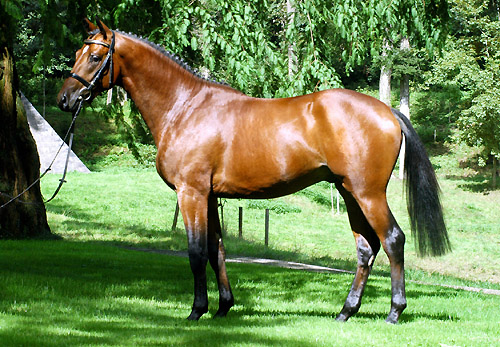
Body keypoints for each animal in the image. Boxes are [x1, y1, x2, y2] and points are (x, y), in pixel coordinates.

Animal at [57, 18, 450, 324]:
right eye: (77, 54)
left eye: (96, 56)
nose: (65, 99)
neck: (185, 107)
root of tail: (387, 112)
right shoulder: (210, 196)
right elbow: (216, 249)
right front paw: (222, 307)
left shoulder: (191, 192)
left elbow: (196, 252)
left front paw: (196, 310)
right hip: (348, 191)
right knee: (366, 248)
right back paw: (345, 311)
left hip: (368, 193)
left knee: (393, 239)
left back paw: (394, 311)